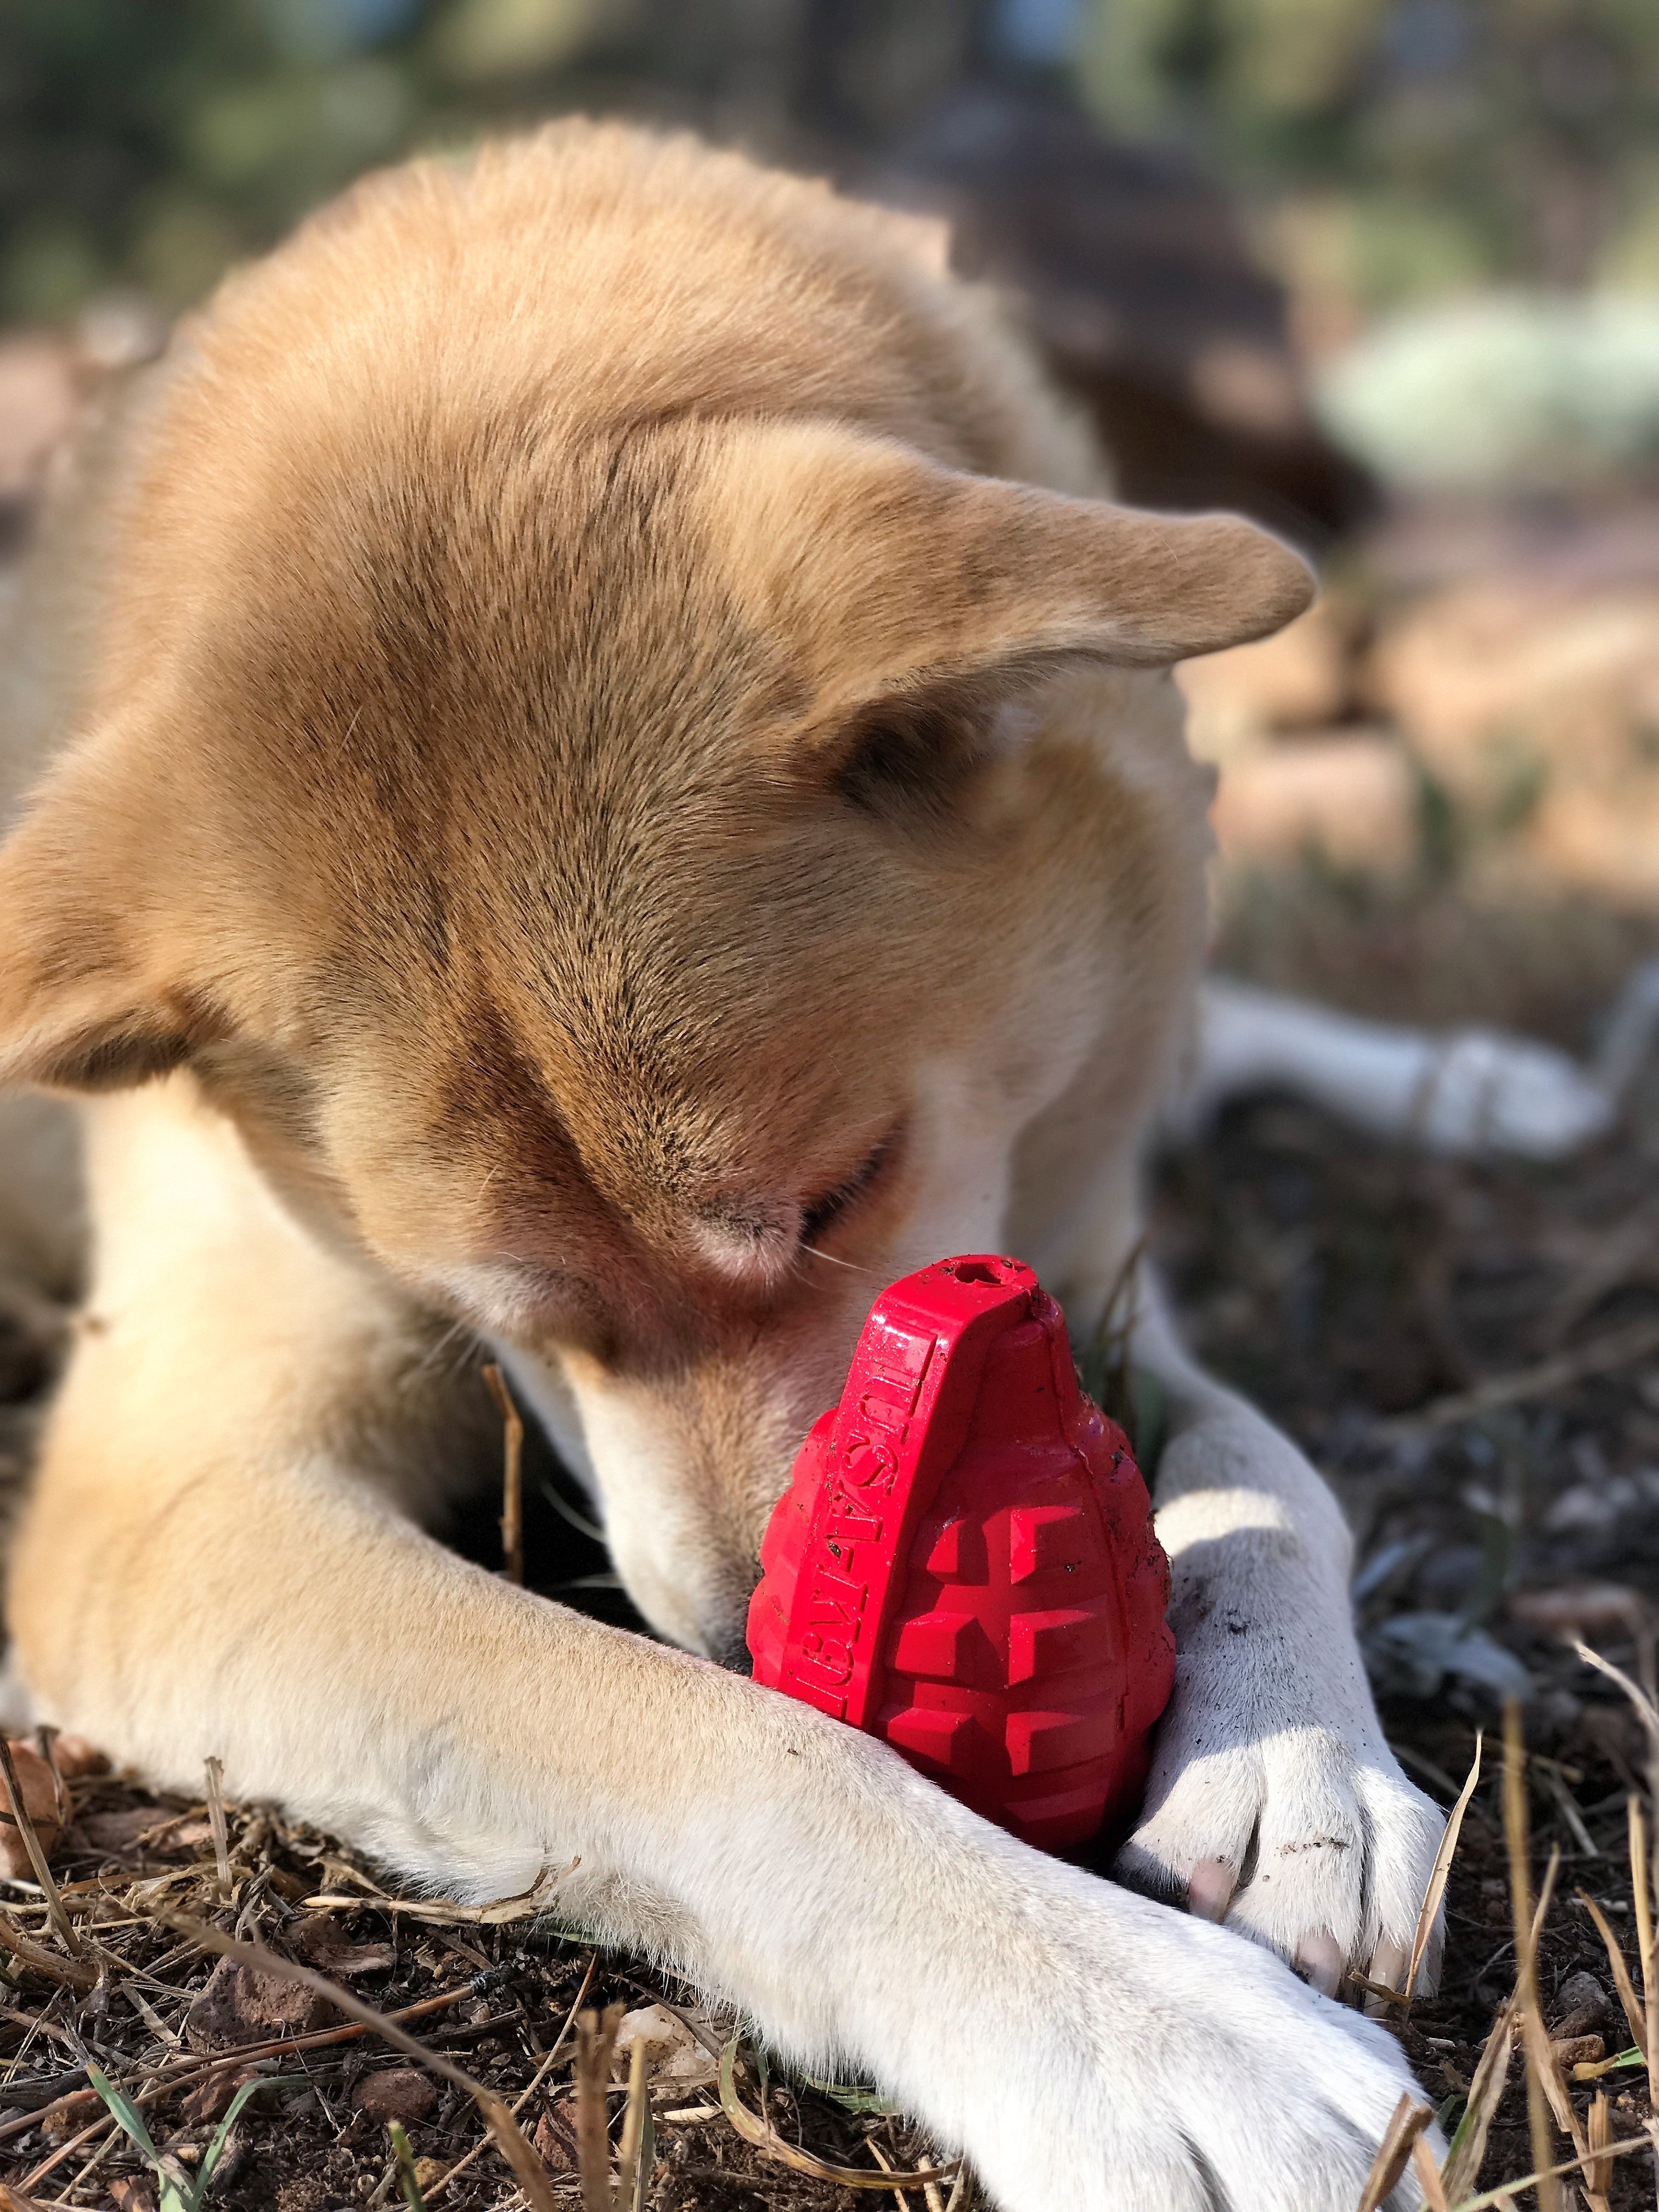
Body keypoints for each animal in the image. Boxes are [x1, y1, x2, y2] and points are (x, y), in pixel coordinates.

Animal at [0, 129, 1442, 2203]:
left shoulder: (1074, 1262)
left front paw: (1295, 1757)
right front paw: (1140, 2025)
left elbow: (1270, 1469)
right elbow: (715, 1746)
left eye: (842, 1191)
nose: (753, 1628)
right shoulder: (169, 1503)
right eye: (490, 1313)